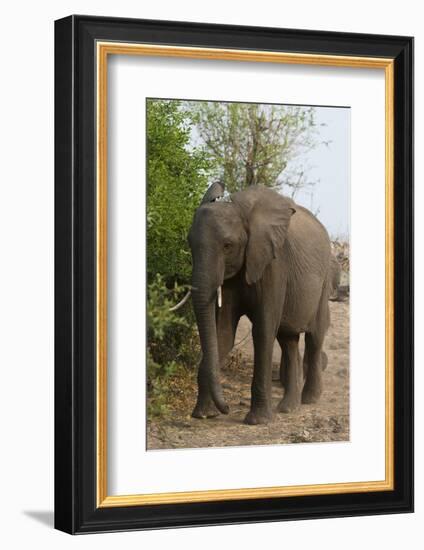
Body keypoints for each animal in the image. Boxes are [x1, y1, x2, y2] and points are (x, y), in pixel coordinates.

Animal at [188, 181, 332, 426]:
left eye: (227, 246)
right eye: (189, 244)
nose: (227, 408)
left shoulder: (274, 263)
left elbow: (263, 331)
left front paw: (258, 421)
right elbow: (223, 333)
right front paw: (203, 415)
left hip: (324, 281)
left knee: (314, 336)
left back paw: (310, 400)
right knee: (288, 340)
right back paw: (288, 408)